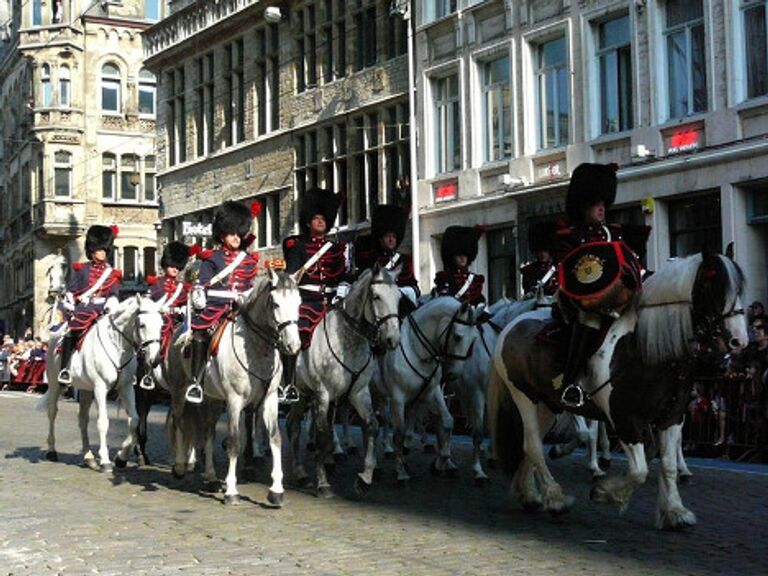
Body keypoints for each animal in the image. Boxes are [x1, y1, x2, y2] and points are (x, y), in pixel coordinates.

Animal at [39, 296, 164, 472]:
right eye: (142, 325)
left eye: (161, 325)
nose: (155, 360)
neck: (117, 347)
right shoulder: (100, 388)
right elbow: (103, 422)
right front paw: (105, 461)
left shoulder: (126, 387)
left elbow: (134, 419)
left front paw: (121, 457)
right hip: (55, 384)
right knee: (52, 413)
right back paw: (52, 451)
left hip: (85, 390)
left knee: (83, 419)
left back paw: (89, 457)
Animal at [166, 268, 302, 504]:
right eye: (275, 304)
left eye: (299, 303)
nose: (293, 346)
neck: (258, 350)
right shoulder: (235, 400)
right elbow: (235, 442)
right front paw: (231, 490)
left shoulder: (269, 399)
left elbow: (275, 438)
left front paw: (276, 490)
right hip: (179, 391)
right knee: (180, 422)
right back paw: (181, 466)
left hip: (212, 399)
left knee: (208, 431)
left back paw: (211, 477)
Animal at [286, 264, 402, 498]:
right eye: (376, 296)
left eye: (399, 297)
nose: (393, 340)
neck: (348, 341)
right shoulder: (323, 395)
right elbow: (322, 434)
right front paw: (323, 483)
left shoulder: (359, 392)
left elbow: (372, 425)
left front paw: (365, 478)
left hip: (302, 396)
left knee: (292, 426)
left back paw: (301, 474)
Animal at [488, 252, 748, 532]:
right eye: (714, 287)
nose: (739, 341)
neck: (647, 349)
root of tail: (511, 325)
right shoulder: (625, 419)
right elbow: (639, 471)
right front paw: (605, 493)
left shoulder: (672, 417)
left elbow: (667, 464)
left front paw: (675, 512)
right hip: (524, 397)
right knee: (534, 445)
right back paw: (556, 499)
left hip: (547, 405)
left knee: (529, 445)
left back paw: (529, 494)